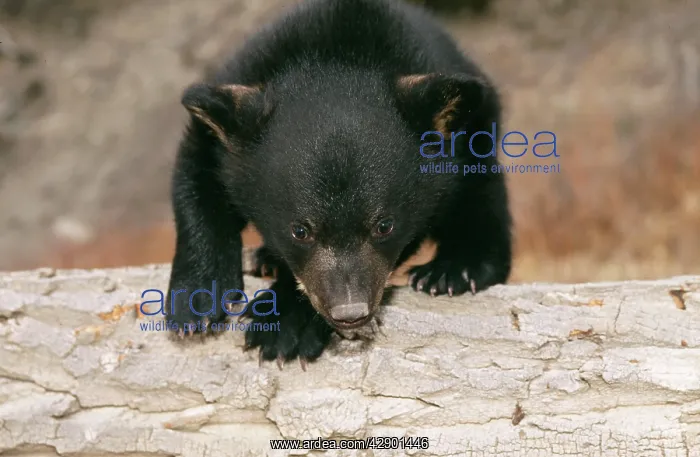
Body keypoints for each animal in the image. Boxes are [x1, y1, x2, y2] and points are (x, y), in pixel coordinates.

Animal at [165, 0, 512, 369]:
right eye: (300, 230)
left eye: (384, 225)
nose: (350, 312)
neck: (336, 56)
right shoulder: (227, 109)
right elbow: (195, 178)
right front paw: (195, 304)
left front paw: (285, 325)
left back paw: (452, 271)